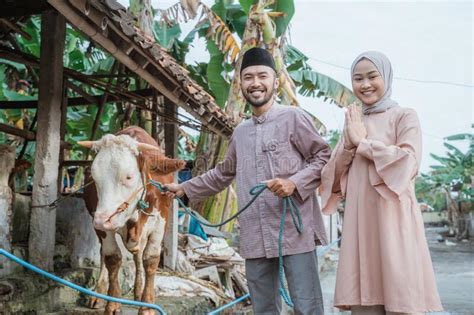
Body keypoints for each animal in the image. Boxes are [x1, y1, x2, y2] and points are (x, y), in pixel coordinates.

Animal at [78, 127, 184, 314]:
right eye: (95, 177)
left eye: (128, 177)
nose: (101, 220)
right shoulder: (102, 224)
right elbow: (112, 258)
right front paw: (112, 303)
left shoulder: (160, 222)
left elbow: (150, 259)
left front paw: (147, 305)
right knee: (104, 253)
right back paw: (99, 293)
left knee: (139, 255)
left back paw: (138, 291)